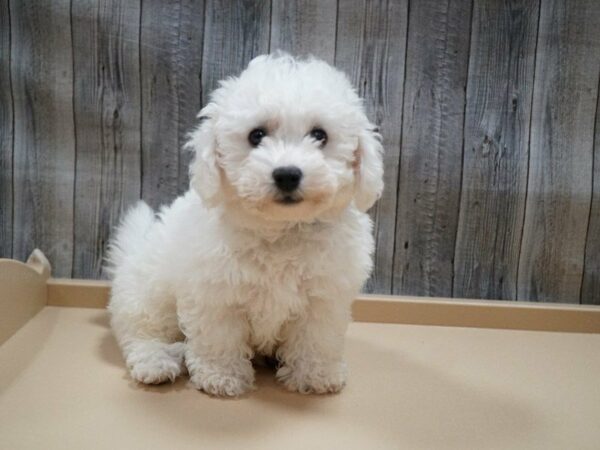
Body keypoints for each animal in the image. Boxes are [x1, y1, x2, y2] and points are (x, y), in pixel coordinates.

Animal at [107, 53, 384, 398]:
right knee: (140, 332)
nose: (287, 174)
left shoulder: (325, 295)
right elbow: (220, 335)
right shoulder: (214, 291)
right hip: (148, 293)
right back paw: (156, 362)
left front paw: (314, 374)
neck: (280, 231)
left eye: (320, 135)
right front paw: (221, 376)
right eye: (257, 135)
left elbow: (316, 336)